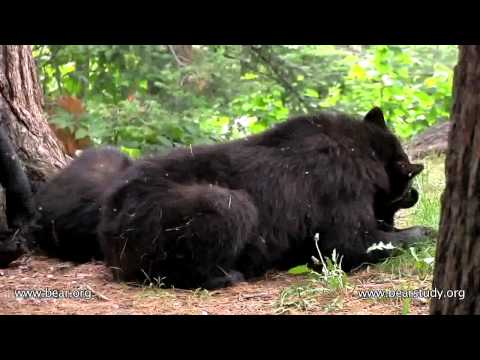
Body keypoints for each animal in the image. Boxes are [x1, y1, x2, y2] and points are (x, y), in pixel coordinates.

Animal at [98, 107, 432, 290]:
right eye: (402, 196)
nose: (413, 194)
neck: (362, 152)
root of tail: (110, 220)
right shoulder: (339, 188)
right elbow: (349, 243)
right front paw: (423, 232)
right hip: (181, 209)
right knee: (227, 210)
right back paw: (224, 276)